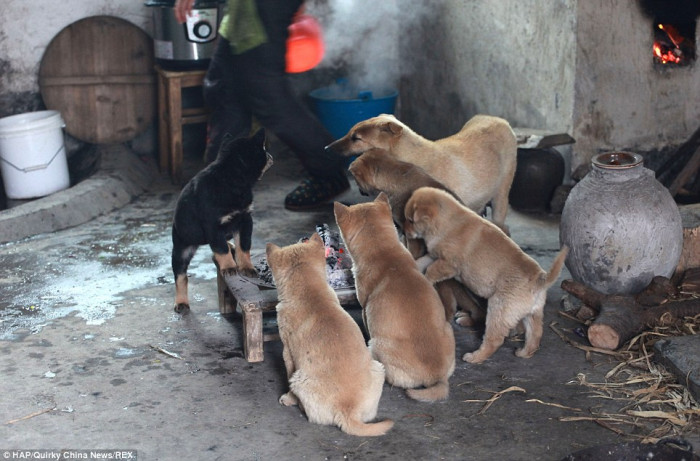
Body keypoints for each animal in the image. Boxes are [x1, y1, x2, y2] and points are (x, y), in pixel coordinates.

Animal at [171, 128, 272, 312]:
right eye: (263, 149)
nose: (270, 156)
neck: (231, 177)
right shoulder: (213, 227)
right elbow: (221, 249)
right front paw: (229, 267)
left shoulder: (245, 220)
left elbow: (243, 246)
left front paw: (246, 267)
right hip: (181, 249)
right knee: (181, 276)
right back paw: (181, 302)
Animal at [266, 234, 392, 434]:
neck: (309, 291)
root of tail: (348, 411)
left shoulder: (287, 353)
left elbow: (287, 374)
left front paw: (288, 398)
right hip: (379, 368)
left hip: (299, 379)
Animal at [404, 187, 568, 362]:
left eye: (411, 221)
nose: (405, 232)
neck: (446, 222)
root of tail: (540, 280)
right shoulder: (433, 256)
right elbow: (421, 261)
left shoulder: (448, 264)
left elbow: (431, 271)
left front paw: (426, 280)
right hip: (532, 315)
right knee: (535, 336)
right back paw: (523, 353)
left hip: (498, 311)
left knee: (494, 340)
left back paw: (474, 357)